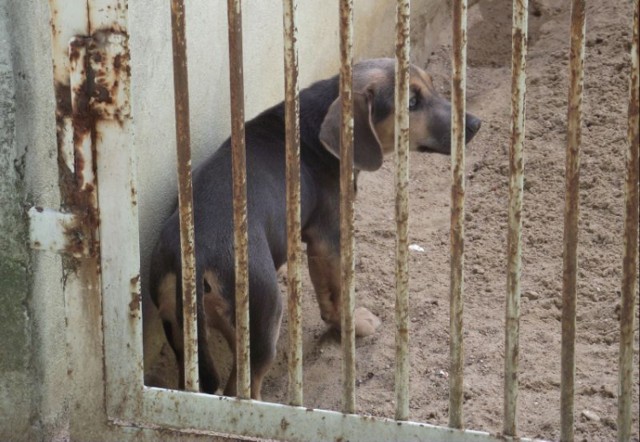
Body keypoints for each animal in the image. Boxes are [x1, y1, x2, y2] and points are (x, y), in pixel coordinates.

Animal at [150, 57, 480, 400]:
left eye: (431, 85)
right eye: (411, 102)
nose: (474, 124)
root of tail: (195, 254)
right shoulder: (328, 239)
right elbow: (335, 294)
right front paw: (352, 325)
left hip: (179, 331)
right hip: (263, 317)